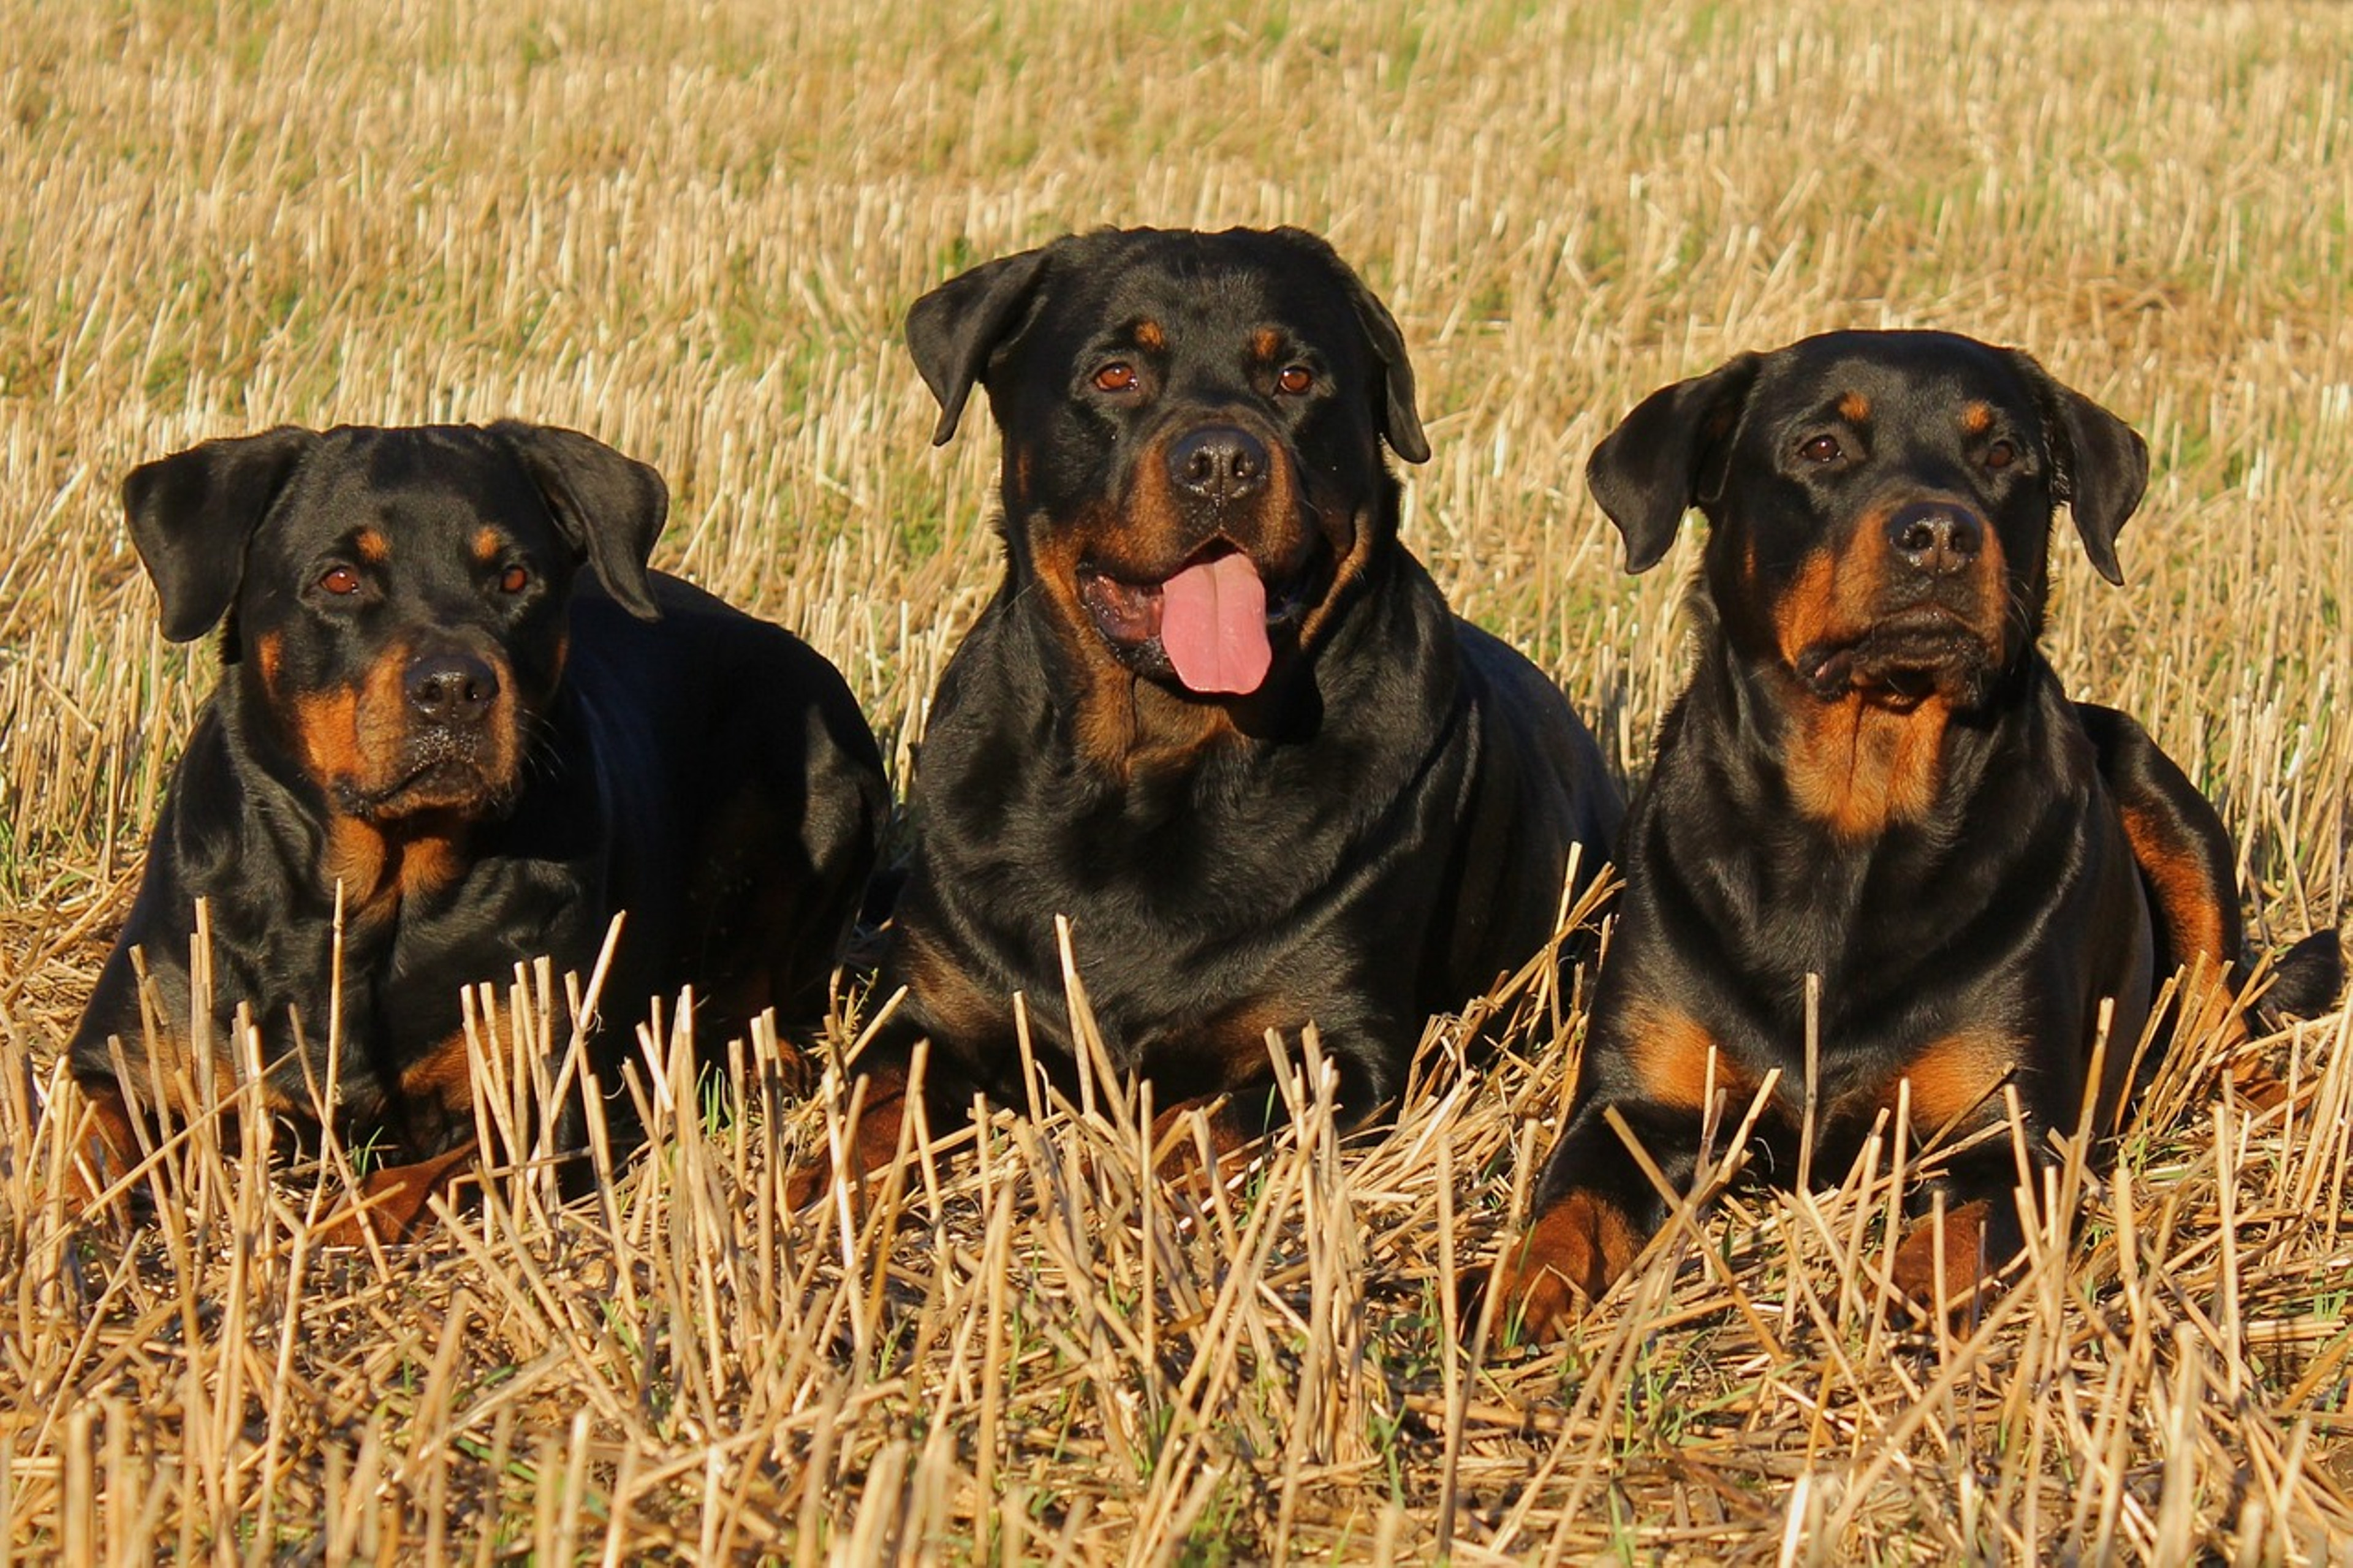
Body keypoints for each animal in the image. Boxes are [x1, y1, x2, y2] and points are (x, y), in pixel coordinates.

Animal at [75, 421, 889, 1224]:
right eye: (339, 578)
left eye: (515, 579)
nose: (453, 686)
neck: (371, 892)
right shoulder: (131, 1050)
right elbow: (85, 1135)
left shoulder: (533, 1099)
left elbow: (407, 1188)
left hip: (822, 760)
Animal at [786, 222, 1618, 1195]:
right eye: (1116, 374)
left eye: (1295, 378)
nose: (1222, 460)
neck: (1153, 763)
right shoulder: (931, 1008)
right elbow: (870, 1108)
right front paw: (815, 1190)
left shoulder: (1337, 1046)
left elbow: (1197, 1122)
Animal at [1487, 329, 2334, 1328]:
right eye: (1822, 447)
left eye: (2003, 453)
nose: (1940, 532)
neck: (1855, 813)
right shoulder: (1632, 1107)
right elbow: (1564, 1218)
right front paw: (1503, 1297)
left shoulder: (2004, 1135)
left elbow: (1947, 1252)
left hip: (2164, 800)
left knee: (2221, 1015)